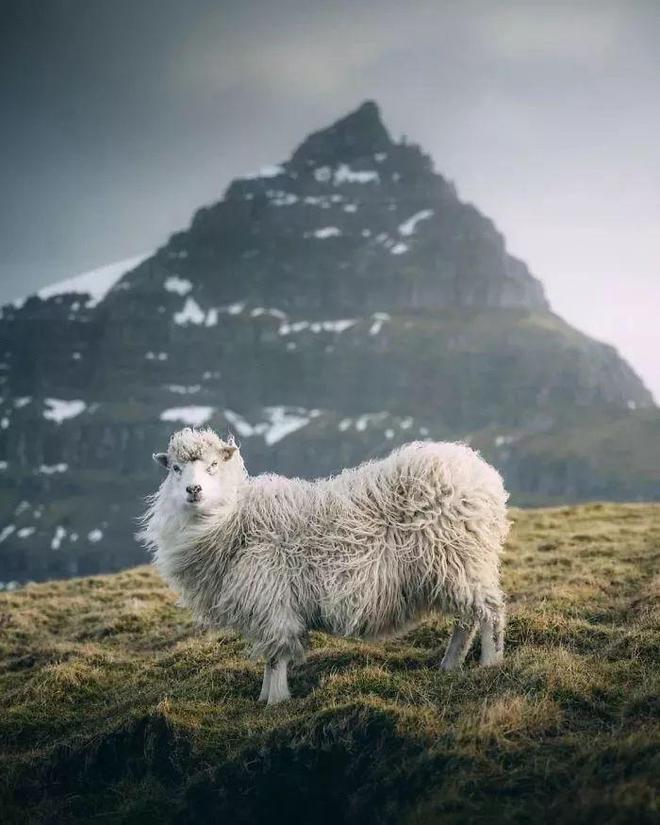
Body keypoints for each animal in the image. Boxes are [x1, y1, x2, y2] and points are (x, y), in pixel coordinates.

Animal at [138, 428, 510, 704]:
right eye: (174, 468)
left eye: (214, 464)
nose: (193, 489)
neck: (232, 519)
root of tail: (479, 470)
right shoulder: (266, 607)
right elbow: (271, 656)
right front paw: (264, 697)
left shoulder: (273, 601)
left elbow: (275, 656)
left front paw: (275, 701)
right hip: (454, 568)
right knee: (466, 620)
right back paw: (450, 665)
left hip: (460, 558)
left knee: (489, 612)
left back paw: (490, 663)